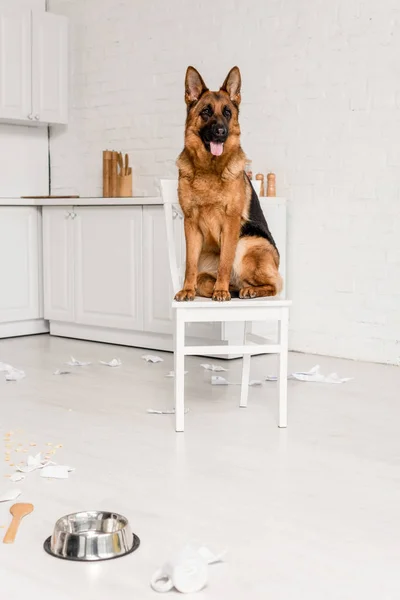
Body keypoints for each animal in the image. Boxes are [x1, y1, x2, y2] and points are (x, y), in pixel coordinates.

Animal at [175, 66, 282, 302]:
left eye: (227, 113)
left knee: (275, 286)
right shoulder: (190, 224)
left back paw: (247, 290)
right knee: (205, 279)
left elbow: (225, 261)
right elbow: (189, 264)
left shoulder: (230, 223)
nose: (221, 132)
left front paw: (221, 291)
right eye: (206, 112)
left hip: (245, 243)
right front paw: (187, 290)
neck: (209, 169)